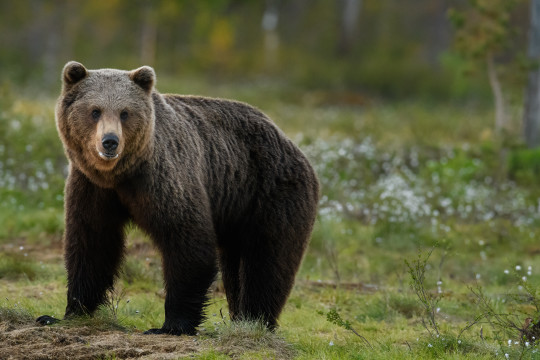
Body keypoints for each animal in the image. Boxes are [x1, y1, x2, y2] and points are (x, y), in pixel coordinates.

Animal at [37, 61, 320, 334]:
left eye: (124, 112)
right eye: (95, 111)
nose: (110, 142)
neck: (120, 175)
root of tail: (291, 143)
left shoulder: (165, 178)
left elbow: (187, 242)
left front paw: (171, 325)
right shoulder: (91, 187)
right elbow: (92, 243)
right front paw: (63, 314)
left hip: (269, 193)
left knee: (267, 261)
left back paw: (256, 320)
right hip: (236, 209)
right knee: (235, 265)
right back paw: (241, 318)